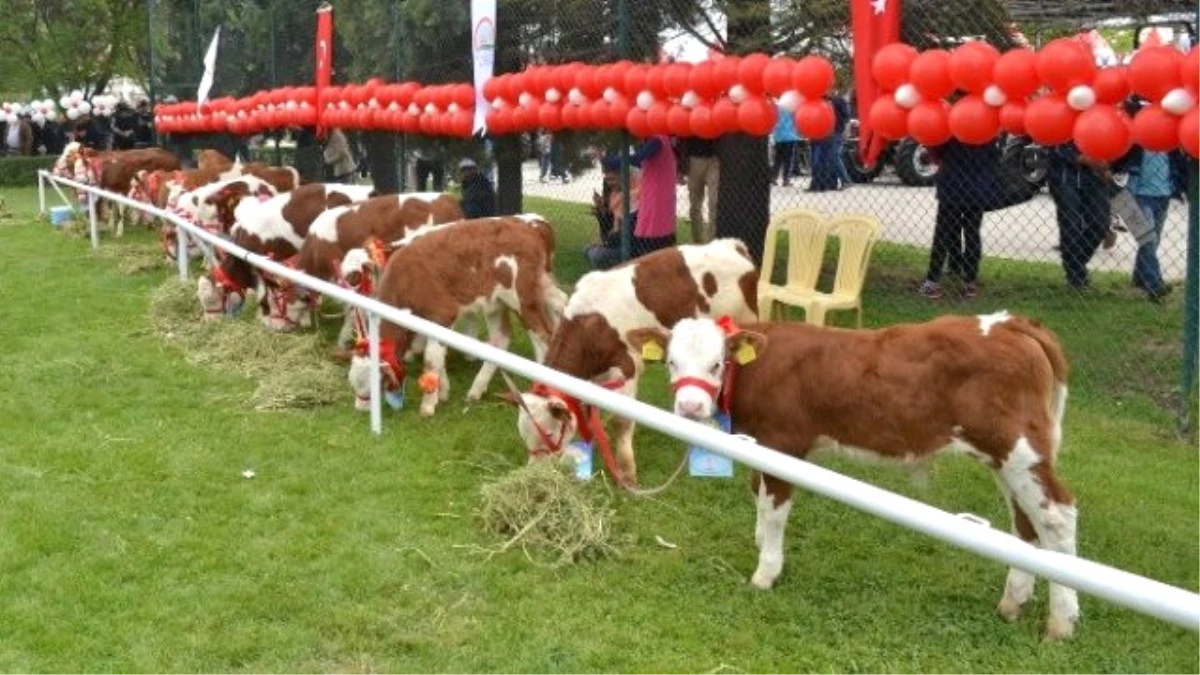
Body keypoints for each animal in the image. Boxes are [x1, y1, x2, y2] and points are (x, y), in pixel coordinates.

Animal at [348, 214, 566, 415]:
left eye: (373, 381)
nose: (360, 407)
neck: (406, 277)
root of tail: (526, 226)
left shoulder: (442, 313)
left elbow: (432, 358)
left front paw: (428, 404)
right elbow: (438, 355)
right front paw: (443, 390)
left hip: (523, 299)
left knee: (543, 337)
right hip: (501, 301)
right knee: (504, 338)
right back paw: (477, 390)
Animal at [504, 237, 758, 482]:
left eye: (549, 433)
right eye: (522, 434)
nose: (534, 470)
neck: (591, 323)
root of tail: (731, 244)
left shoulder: (626, 370)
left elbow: (622, 421)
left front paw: (627, 474)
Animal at [628, 309, 1080, 634]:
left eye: (717, 363)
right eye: (671, 362)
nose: (690, 407)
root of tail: (1011, 323)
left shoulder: (783, 443)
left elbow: (773, 510)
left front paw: (765, 572)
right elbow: (757, 491)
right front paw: (759, 543)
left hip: (1019, 449)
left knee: (1057, 518)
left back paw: (1061, 622)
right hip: (1007, 457)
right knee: (1025, 522)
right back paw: (1013, 602)